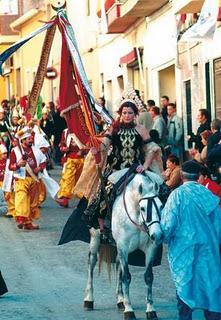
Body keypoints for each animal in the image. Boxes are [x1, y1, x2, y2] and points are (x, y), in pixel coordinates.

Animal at [83, 170, 163, 320]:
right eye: (143, 208)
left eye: (161, 206)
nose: (158, 235)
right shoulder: (123, 247)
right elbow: (127, 277)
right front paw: (129, 310)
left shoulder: (150, 248)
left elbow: (148, 276)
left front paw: (150, 309)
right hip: (95, 237)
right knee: (92, 262)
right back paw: (89, 299)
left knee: (118, 265)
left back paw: (120, 300)